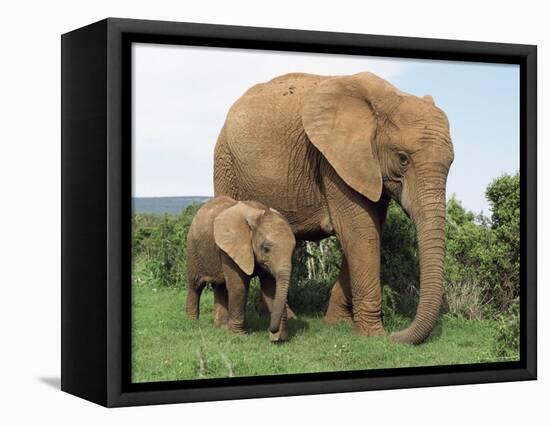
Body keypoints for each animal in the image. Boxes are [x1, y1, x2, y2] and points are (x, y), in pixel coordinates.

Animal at [187, 197, 298, 342]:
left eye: (293, 250)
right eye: (266, 248)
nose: (271, 329)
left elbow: (271, 288)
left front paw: (279, 338)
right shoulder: (230, 247)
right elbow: (239, 287)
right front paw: (239, 336)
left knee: (219, 286)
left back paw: (221, 327)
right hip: (193, 248)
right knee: (195, 286)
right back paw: (192, 322)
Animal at [213, 70, 454, 342]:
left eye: (451, 162)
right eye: (402, 159)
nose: (396, 335)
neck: (386, 98)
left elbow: (368, 231)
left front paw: (337, 323)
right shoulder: (333, 161)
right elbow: (360, 232)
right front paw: (373, 336)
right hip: (225, 162)